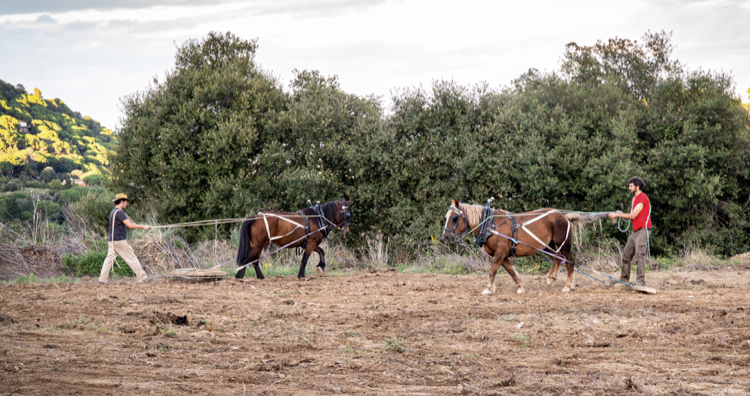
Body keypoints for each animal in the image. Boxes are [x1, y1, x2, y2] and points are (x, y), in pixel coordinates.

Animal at [440, 198, 604, 294]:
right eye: (446, 217)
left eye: (455, 218)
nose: (444, 237)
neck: (490, 225)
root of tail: (564, 216)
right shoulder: (502, 255)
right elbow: (511, 271)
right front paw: (520, 287)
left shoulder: (500, 253)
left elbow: (492, 270)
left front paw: (488, 289)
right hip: (546, 246)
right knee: (557, 259)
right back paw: (551, 277)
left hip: (563, 245)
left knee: (569, 262)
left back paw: (568, 286)